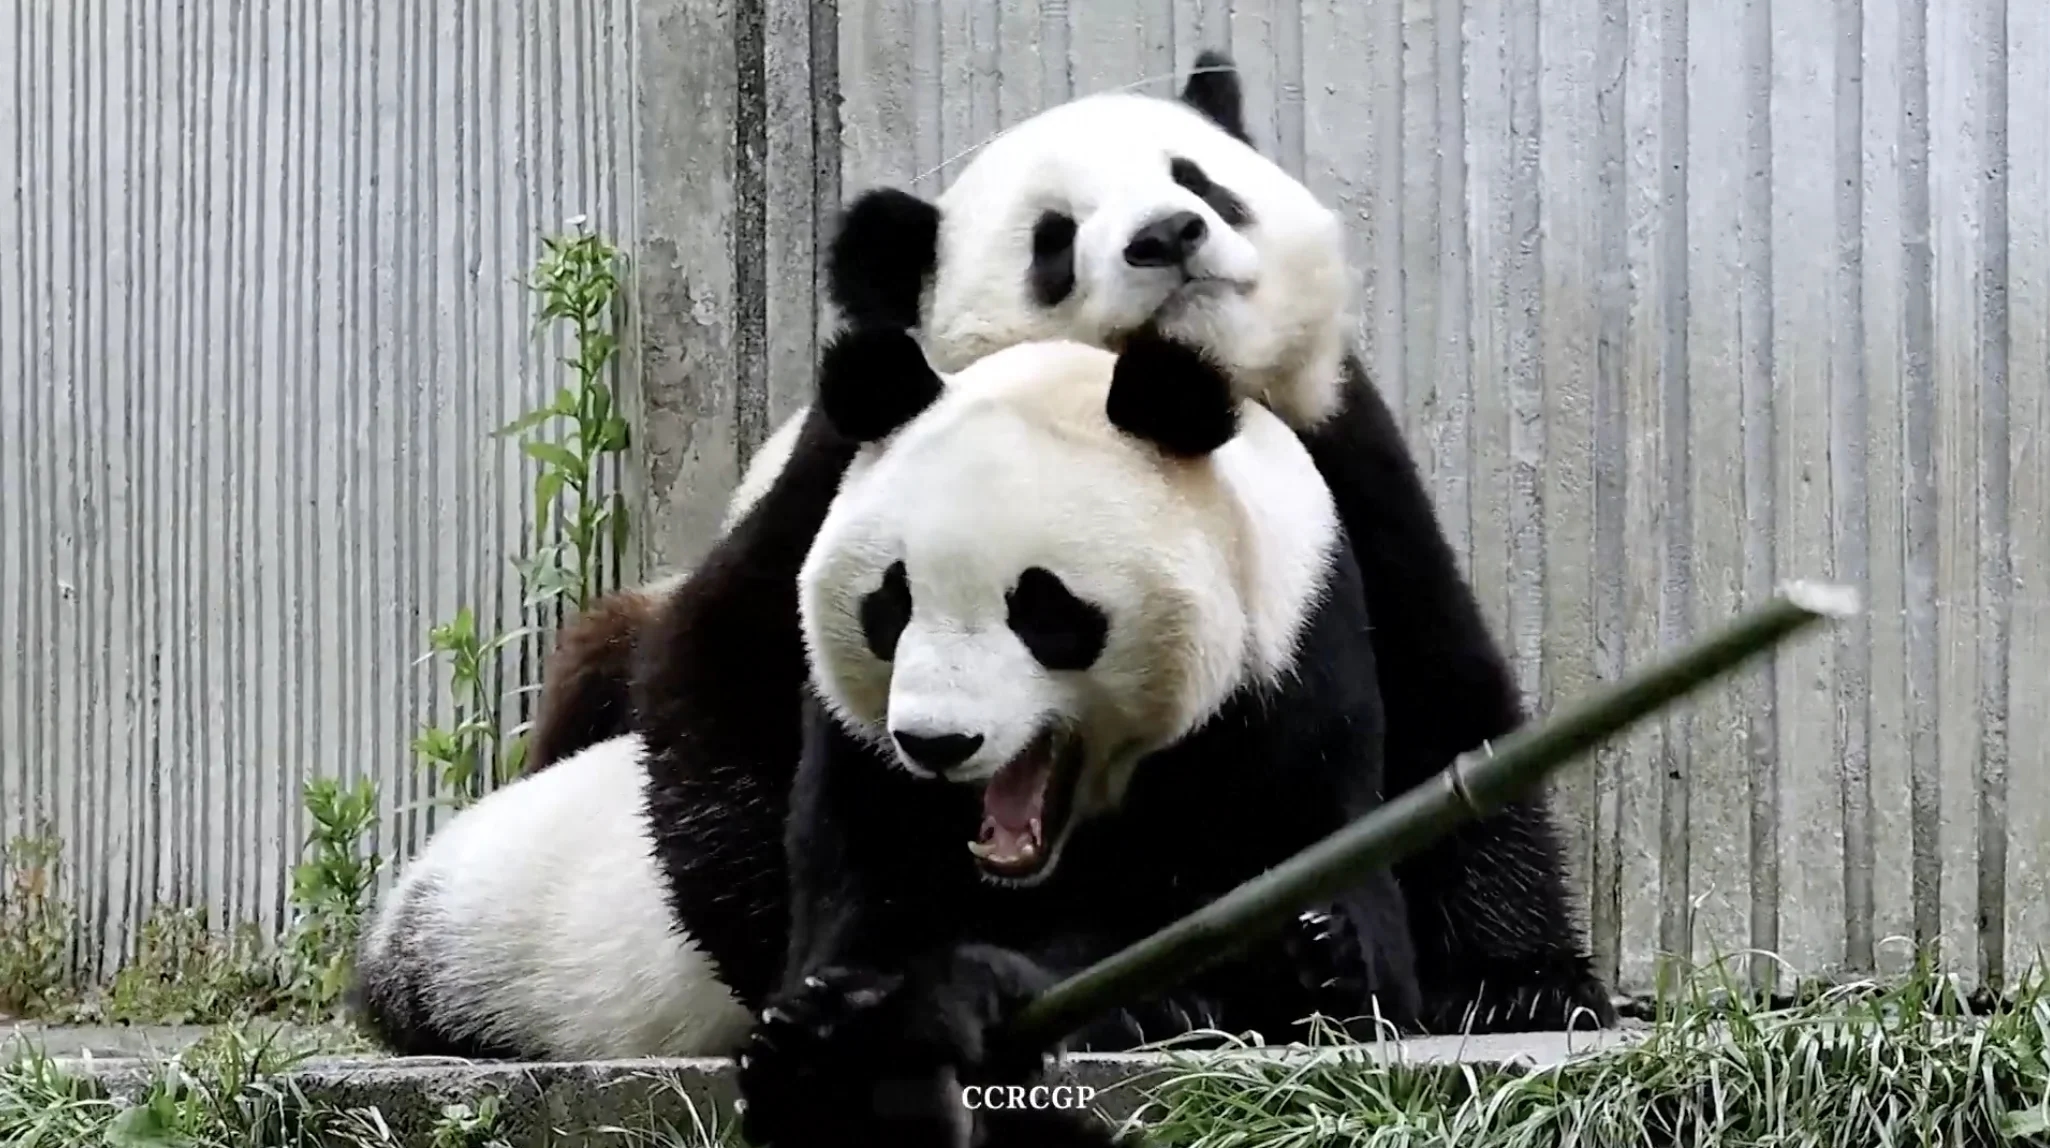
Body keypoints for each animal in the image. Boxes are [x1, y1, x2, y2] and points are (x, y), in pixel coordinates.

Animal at [527, 49, 1615, 1033]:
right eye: (1054, 239)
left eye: (1199, 179)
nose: (1169, 234)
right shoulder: (840, 481)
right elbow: (728, 683)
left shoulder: (1339, 458)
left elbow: (1442, 691)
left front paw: (1520, 984)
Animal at [735, 326, 1419, 1148]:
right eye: (892, 603)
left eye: (1044, 608)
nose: (937, 743)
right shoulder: (860, 755)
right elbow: (855, 895)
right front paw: (823, 1042)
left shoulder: (1288, 676)